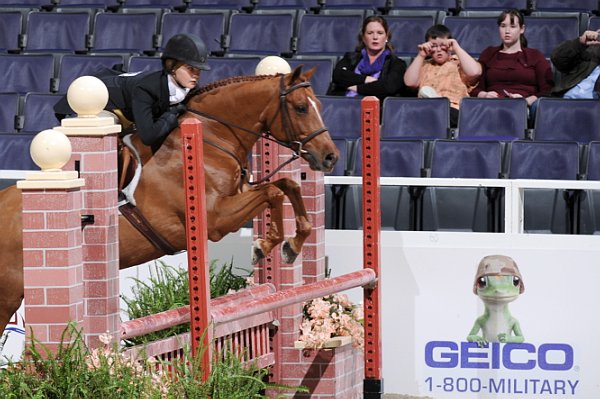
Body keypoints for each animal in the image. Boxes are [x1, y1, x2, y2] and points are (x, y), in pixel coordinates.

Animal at [0, 66, 338, 334]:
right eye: (300, 108)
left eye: (319, 104)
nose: (330, 157)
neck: (213, 136)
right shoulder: (216, 219)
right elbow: (273, 192)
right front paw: (265, 246)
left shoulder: (237, 197)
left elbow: (286, 185)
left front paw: (291, 245)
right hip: (9, 295)